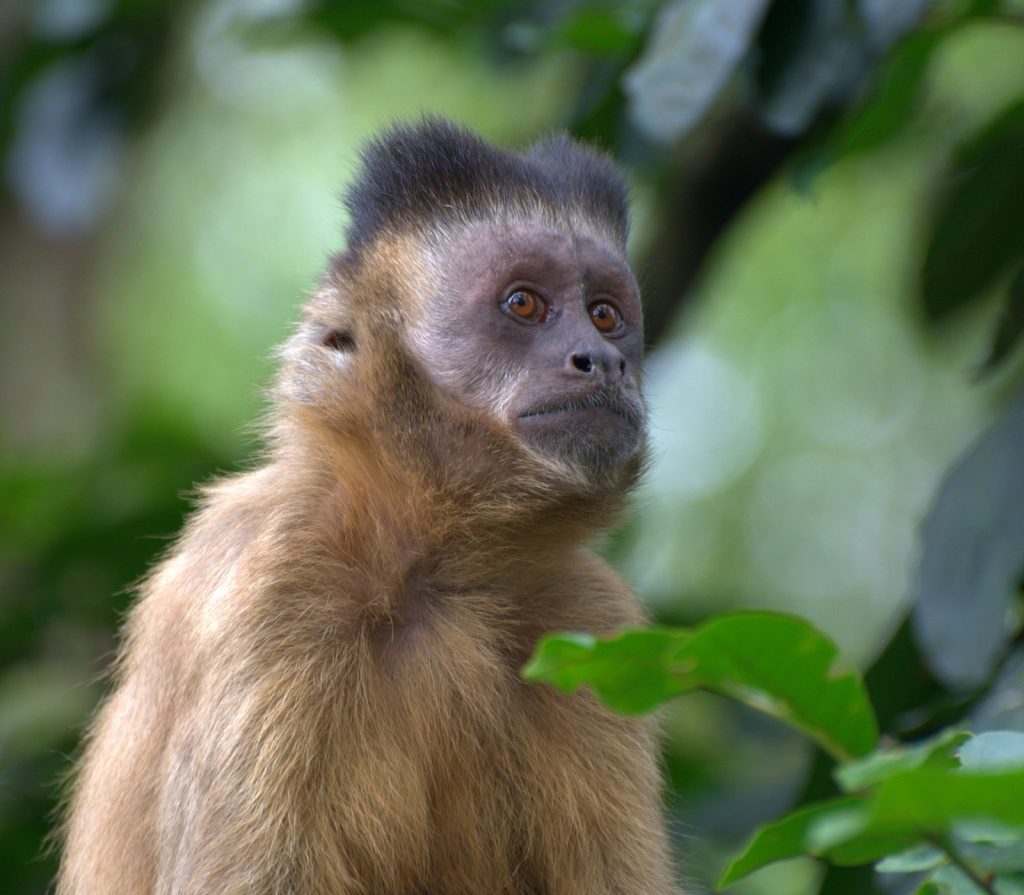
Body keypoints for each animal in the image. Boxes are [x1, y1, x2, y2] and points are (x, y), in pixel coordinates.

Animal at [56, 118, 679, 892]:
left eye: (605, 314)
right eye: (524, 304)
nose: (604, 359)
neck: (429, 565)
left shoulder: (590, 617)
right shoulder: (272, 593)